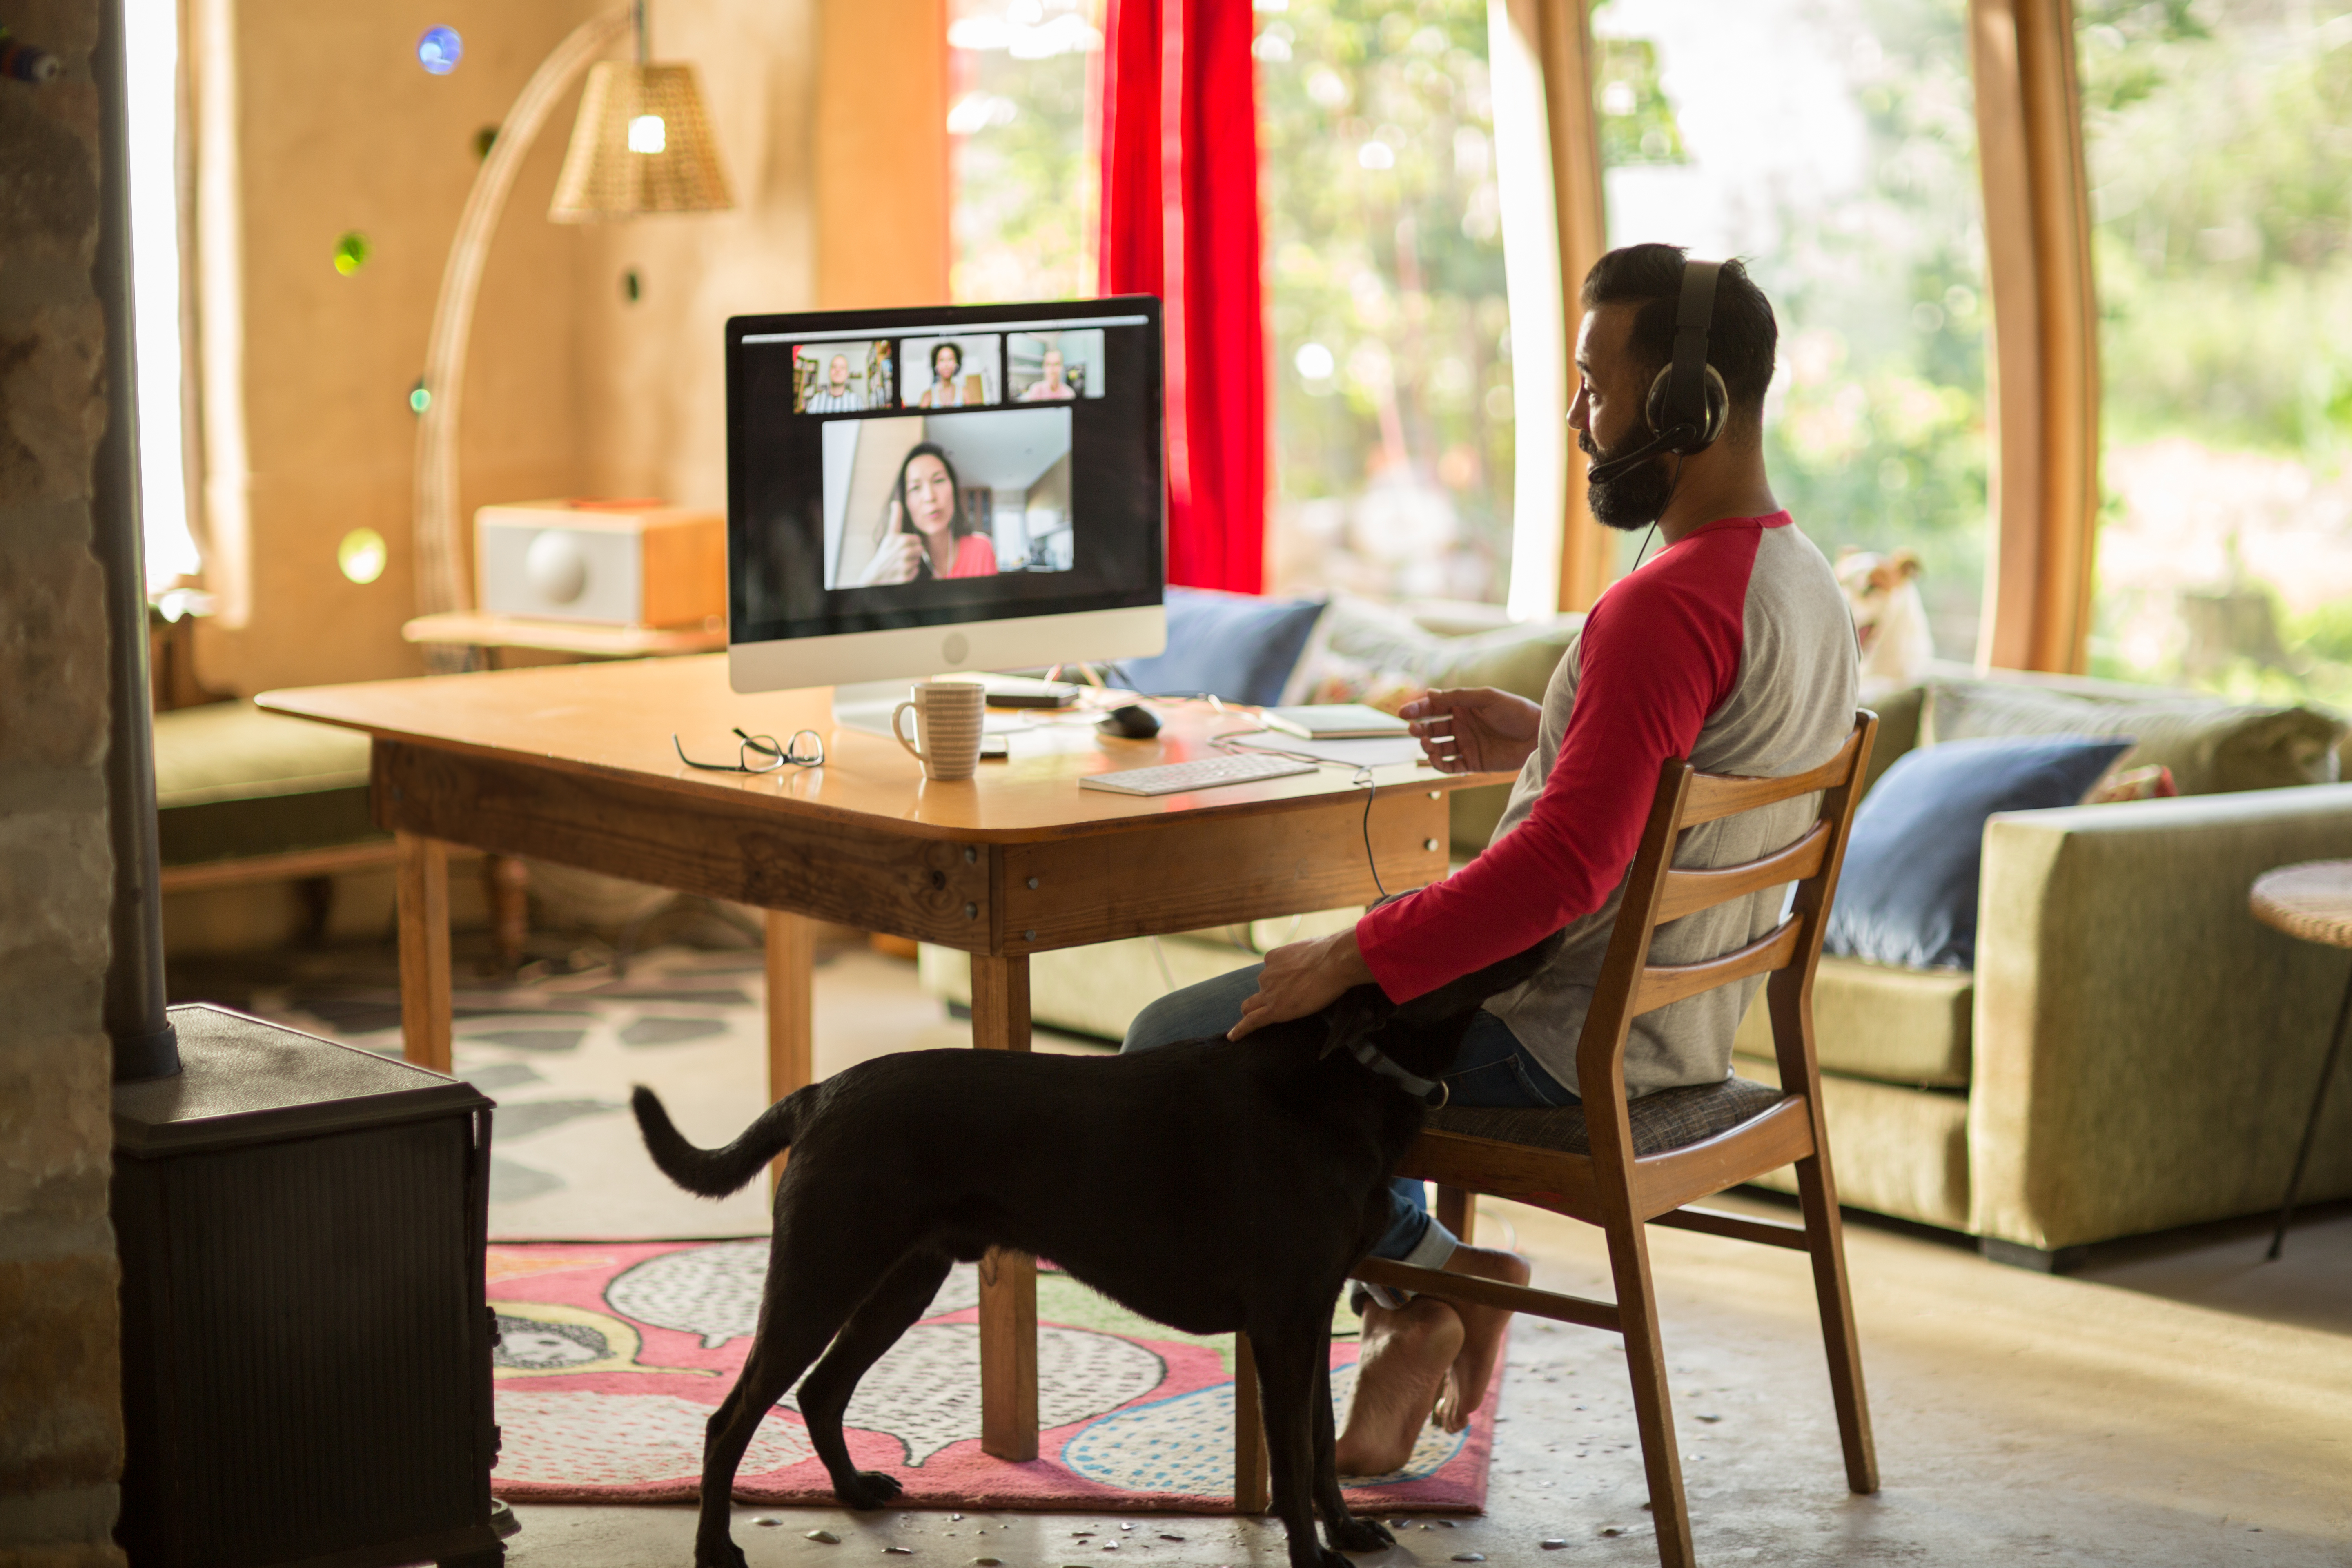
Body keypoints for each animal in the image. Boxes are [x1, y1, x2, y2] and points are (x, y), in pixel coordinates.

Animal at [626, 931, 1561, 1568]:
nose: (1558, 907)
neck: (1346, 1074)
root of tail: (821, 1092)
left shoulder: (1311, 1310)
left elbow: (1323, 1450)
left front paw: (1348, 1530)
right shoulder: (1282, 1325)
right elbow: (1296, 1463)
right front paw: (1312, 1555)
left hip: (902, 1280)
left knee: (821, 1393)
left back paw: (855, 1493)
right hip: (821, 1277)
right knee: (731, 1418)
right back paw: (714, 1548)